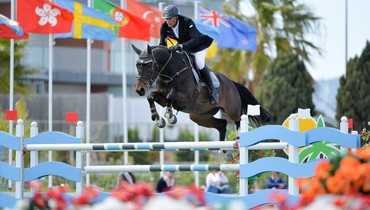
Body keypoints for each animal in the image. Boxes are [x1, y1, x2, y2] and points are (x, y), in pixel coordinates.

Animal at [132, 43, 270, 160]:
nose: (139, 90)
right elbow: (151, 97)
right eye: (137, 65)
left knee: (238, 118)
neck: (170, 72)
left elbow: (170, 96)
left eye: (149, 65)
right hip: (199, 116)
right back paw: (224, 152)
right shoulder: (162, 99)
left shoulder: (185, 99)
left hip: (232, 109)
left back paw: (238, 139)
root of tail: (231, 82)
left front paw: (170, 117)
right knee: (222, 124)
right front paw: (159, 121)